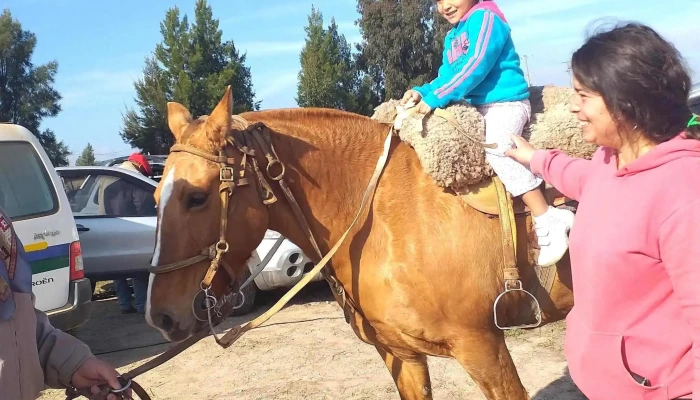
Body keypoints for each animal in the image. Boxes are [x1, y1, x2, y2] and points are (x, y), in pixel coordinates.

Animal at [145, 86, 575, 400]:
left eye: (196, 197)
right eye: (155, 197)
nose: (160, 316)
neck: (384, 216)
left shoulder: (483, 348)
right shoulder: (401, 356)